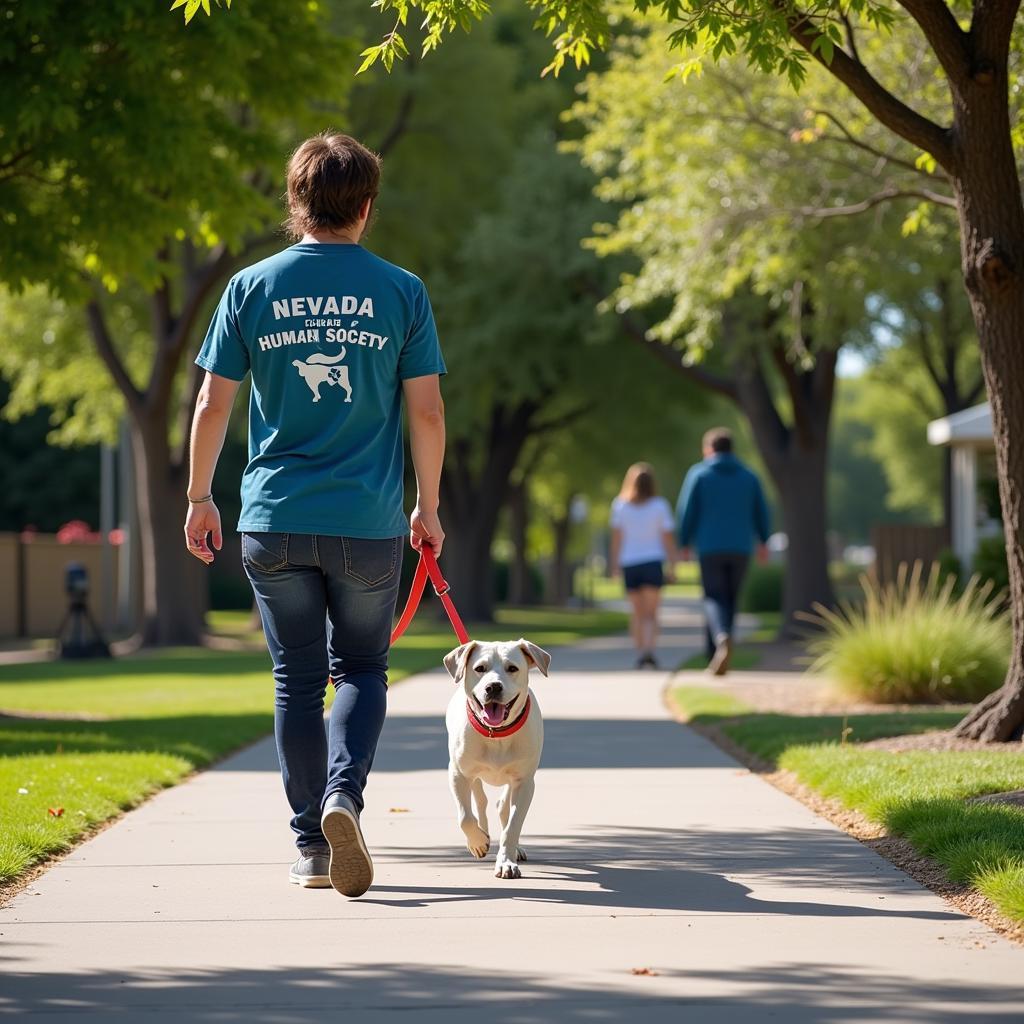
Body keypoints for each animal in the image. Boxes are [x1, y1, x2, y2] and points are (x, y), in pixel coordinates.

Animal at [442, 634, 552, 876]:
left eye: (512, 668)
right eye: (479, 668)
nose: (493, 687)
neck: (497, 734)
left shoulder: (524, 782)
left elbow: (513, 824)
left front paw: (506, 861)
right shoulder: (458, 774)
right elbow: (465, 817)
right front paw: (477, 842)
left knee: (503, 808)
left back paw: (514, 848)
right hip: (473, 776)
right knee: (480, 802)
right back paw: (481, 835)